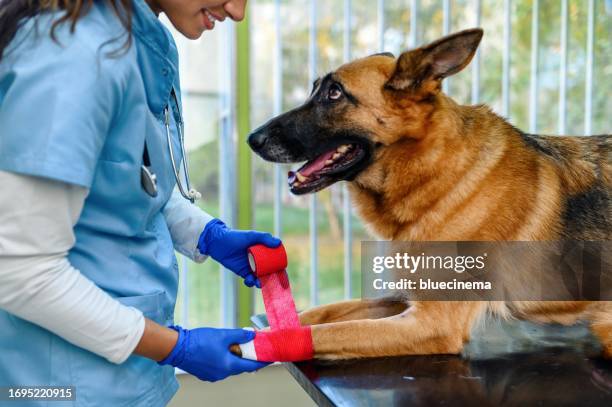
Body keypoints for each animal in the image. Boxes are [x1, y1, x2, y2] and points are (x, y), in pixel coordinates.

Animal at [246, 28, 608, 360]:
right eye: (315, 90)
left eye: (335, 93)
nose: (252, 139)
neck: (436, 174)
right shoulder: (403, 298)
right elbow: (326, 312)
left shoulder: (432, 323)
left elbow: (334, 331)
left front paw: (255, 344)